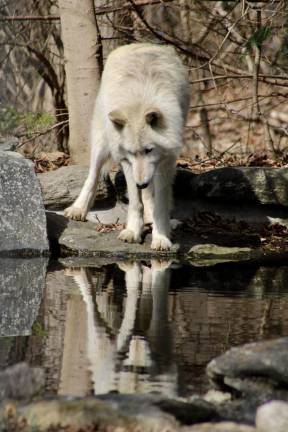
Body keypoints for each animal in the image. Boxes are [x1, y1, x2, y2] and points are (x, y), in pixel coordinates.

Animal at [65, 43, 191, 250]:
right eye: (132, 152)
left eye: (149, 150)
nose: (141, 183)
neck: (139, 100)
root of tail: (140, 44)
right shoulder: (127, 161)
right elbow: (134, 202)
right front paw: (133, 231)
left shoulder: (165, 162)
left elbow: (159, 203)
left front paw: (161, 236)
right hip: (102, 143)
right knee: (92, 175)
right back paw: (78, 209)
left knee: (149, 194)